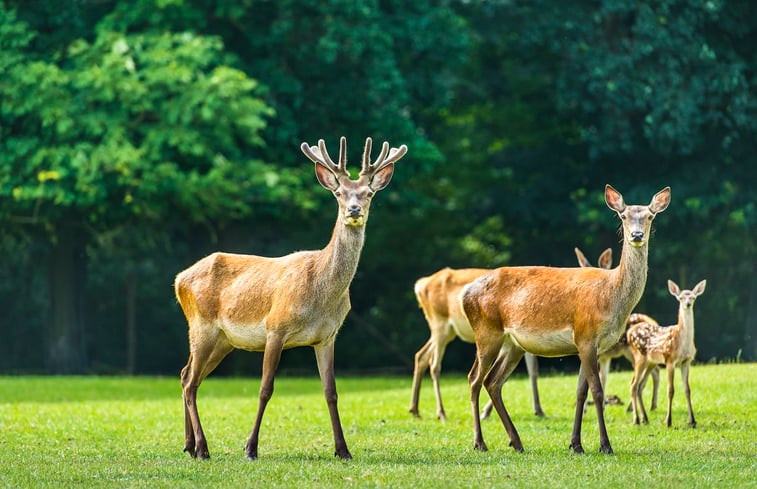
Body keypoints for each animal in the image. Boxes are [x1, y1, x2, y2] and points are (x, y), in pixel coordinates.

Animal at [175, 136, 408, 458]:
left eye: (369, 193)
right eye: (338, 193)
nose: (353, 210)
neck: (321, 297)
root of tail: (179, 279)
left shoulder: (327, 337)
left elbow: (331, 392)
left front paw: (343, 450)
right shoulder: (276, 327)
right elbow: (265, 389)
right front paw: (250, 448)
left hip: (224, 340)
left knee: (187, 375)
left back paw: (189, 445)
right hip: (201, 325)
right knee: (190, 382)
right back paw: (202, 448)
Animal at [408, 266, 544, 420]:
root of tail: (420, 285)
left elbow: (532, 369)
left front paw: (539, 410)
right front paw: (485, 412)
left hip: (448, 331)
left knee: (421, 355)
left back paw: (415, 410)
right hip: (439, 322)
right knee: (434, 364)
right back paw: (441, 412)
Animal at [576, 246, 660, 410]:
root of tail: (654, 323)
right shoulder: (604, 356)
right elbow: (603, 378)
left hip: (633, 352)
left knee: (652, 372)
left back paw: (636, 406)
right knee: (655, 371)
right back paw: (650, 405)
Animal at [628, 278, 704, 428]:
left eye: (693, 297)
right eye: (680, 298)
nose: (687, 304)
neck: (682, 342)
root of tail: (629, 332)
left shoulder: (686, 362)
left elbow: (687, 390)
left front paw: (692, 421)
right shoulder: (670, 360)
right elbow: (671, 390)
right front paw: (668, 421)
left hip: (651, 362)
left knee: (640, 385)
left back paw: (645, 418)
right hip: (639, 357)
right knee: (633, 385)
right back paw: (636, 420)